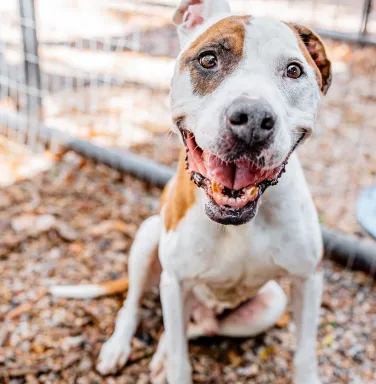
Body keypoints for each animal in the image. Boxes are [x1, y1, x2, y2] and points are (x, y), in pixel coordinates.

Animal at [50, 1, 332, 382]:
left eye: (293, 70)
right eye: (209, 59)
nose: (253, 118)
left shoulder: (308, 279)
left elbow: (304, 354)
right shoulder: (175, 280)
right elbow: (180, 360)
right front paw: (166, 362)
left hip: (270, 304)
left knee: (194, 329)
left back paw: (161, 354)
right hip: (149, 237)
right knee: (135, 307)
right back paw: (119, 347)